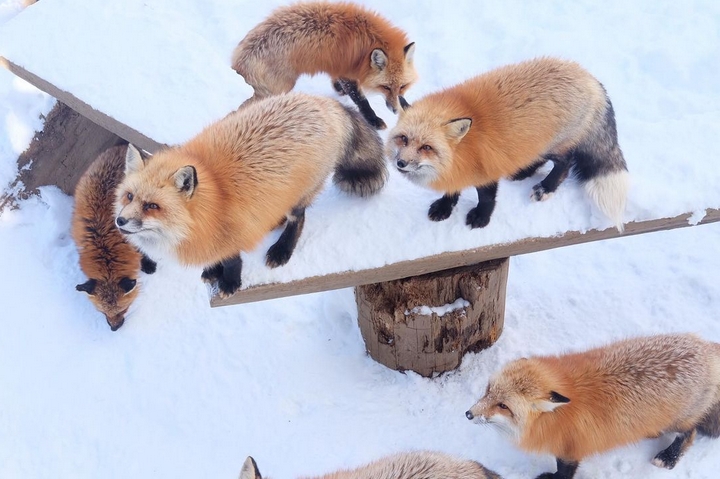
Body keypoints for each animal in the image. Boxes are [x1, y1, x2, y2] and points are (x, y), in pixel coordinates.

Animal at [114, 92, 388, 298]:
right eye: (129, 197)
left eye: (152, 206)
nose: (120, 221)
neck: (212, 201)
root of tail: (323, 101)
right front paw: (213, 271)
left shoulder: (232, 230)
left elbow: (233, 260)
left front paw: (229, 282)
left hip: (299, 196)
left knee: (299, 220)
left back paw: (281, 250)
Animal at [231, 0, 416, 130]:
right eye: (385, 87)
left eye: (402, 86)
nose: (395, 111)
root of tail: (236, 62)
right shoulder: (346, 72)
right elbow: (361, 100)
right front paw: (374, 120)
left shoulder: (340, 68)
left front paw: (407, 106)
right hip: (278, 89)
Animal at [388, 57, 632, 233]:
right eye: (404, 139)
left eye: (426, 147)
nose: (401, 163)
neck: (462, 150)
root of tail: (591, 78)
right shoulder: (458, 170)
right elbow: (451, 191)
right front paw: (444, 207)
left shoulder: (486, 169)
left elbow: (486, 198)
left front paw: (481, 217)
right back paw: (523, 171)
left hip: (555, 146)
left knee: (565, 164)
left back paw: (546, 187)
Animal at [466, 334, 720, 479]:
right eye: (488, 390)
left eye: (503, 405)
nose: (468, 414)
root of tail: (706, 347)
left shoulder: (571, 447)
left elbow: (564, 473)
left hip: (679, 420)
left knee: (690, 432)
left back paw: (669, 456)